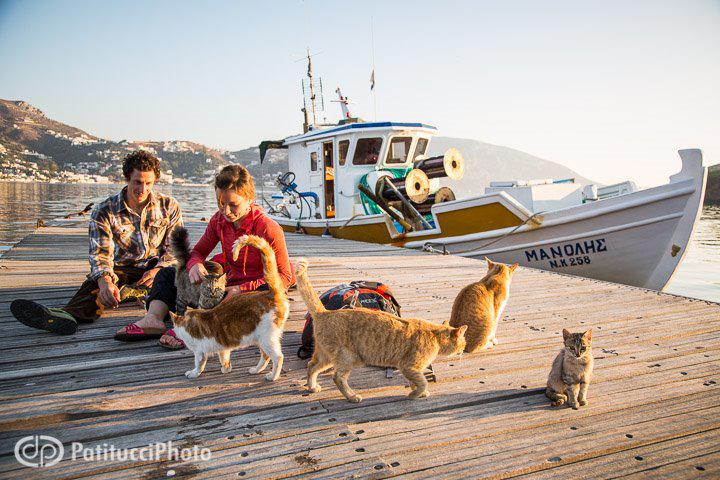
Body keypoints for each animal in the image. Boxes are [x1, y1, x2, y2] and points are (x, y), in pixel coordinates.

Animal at [171, 234, 286, 380]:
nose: (175, 333)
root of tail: (271, 293)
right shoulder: (223, 347)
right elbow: (225, 358)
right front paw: (226, 369)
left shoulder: (200, 351)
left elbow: (199, 365)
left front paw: (193, 373)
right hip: (260, 339)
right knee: (265, 356)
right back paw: (256, 370)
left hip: (267, 339)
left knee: (278, 357)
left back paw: (273, 376)